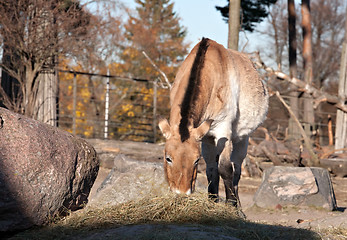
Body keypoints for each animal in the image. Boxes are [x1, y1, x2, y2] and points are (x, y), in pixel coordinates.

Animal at [158, 38, 270, 206]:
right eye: (168, 158)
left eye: (196, 160)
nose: (182, 193)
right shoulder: (206, 137)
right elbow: (212, 171)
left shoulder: (223, 131)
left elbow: (226, 169)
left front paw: (231, 205)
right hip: (210, 140)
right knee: (213, 168)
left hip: (242, 139)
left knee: (237, 170)